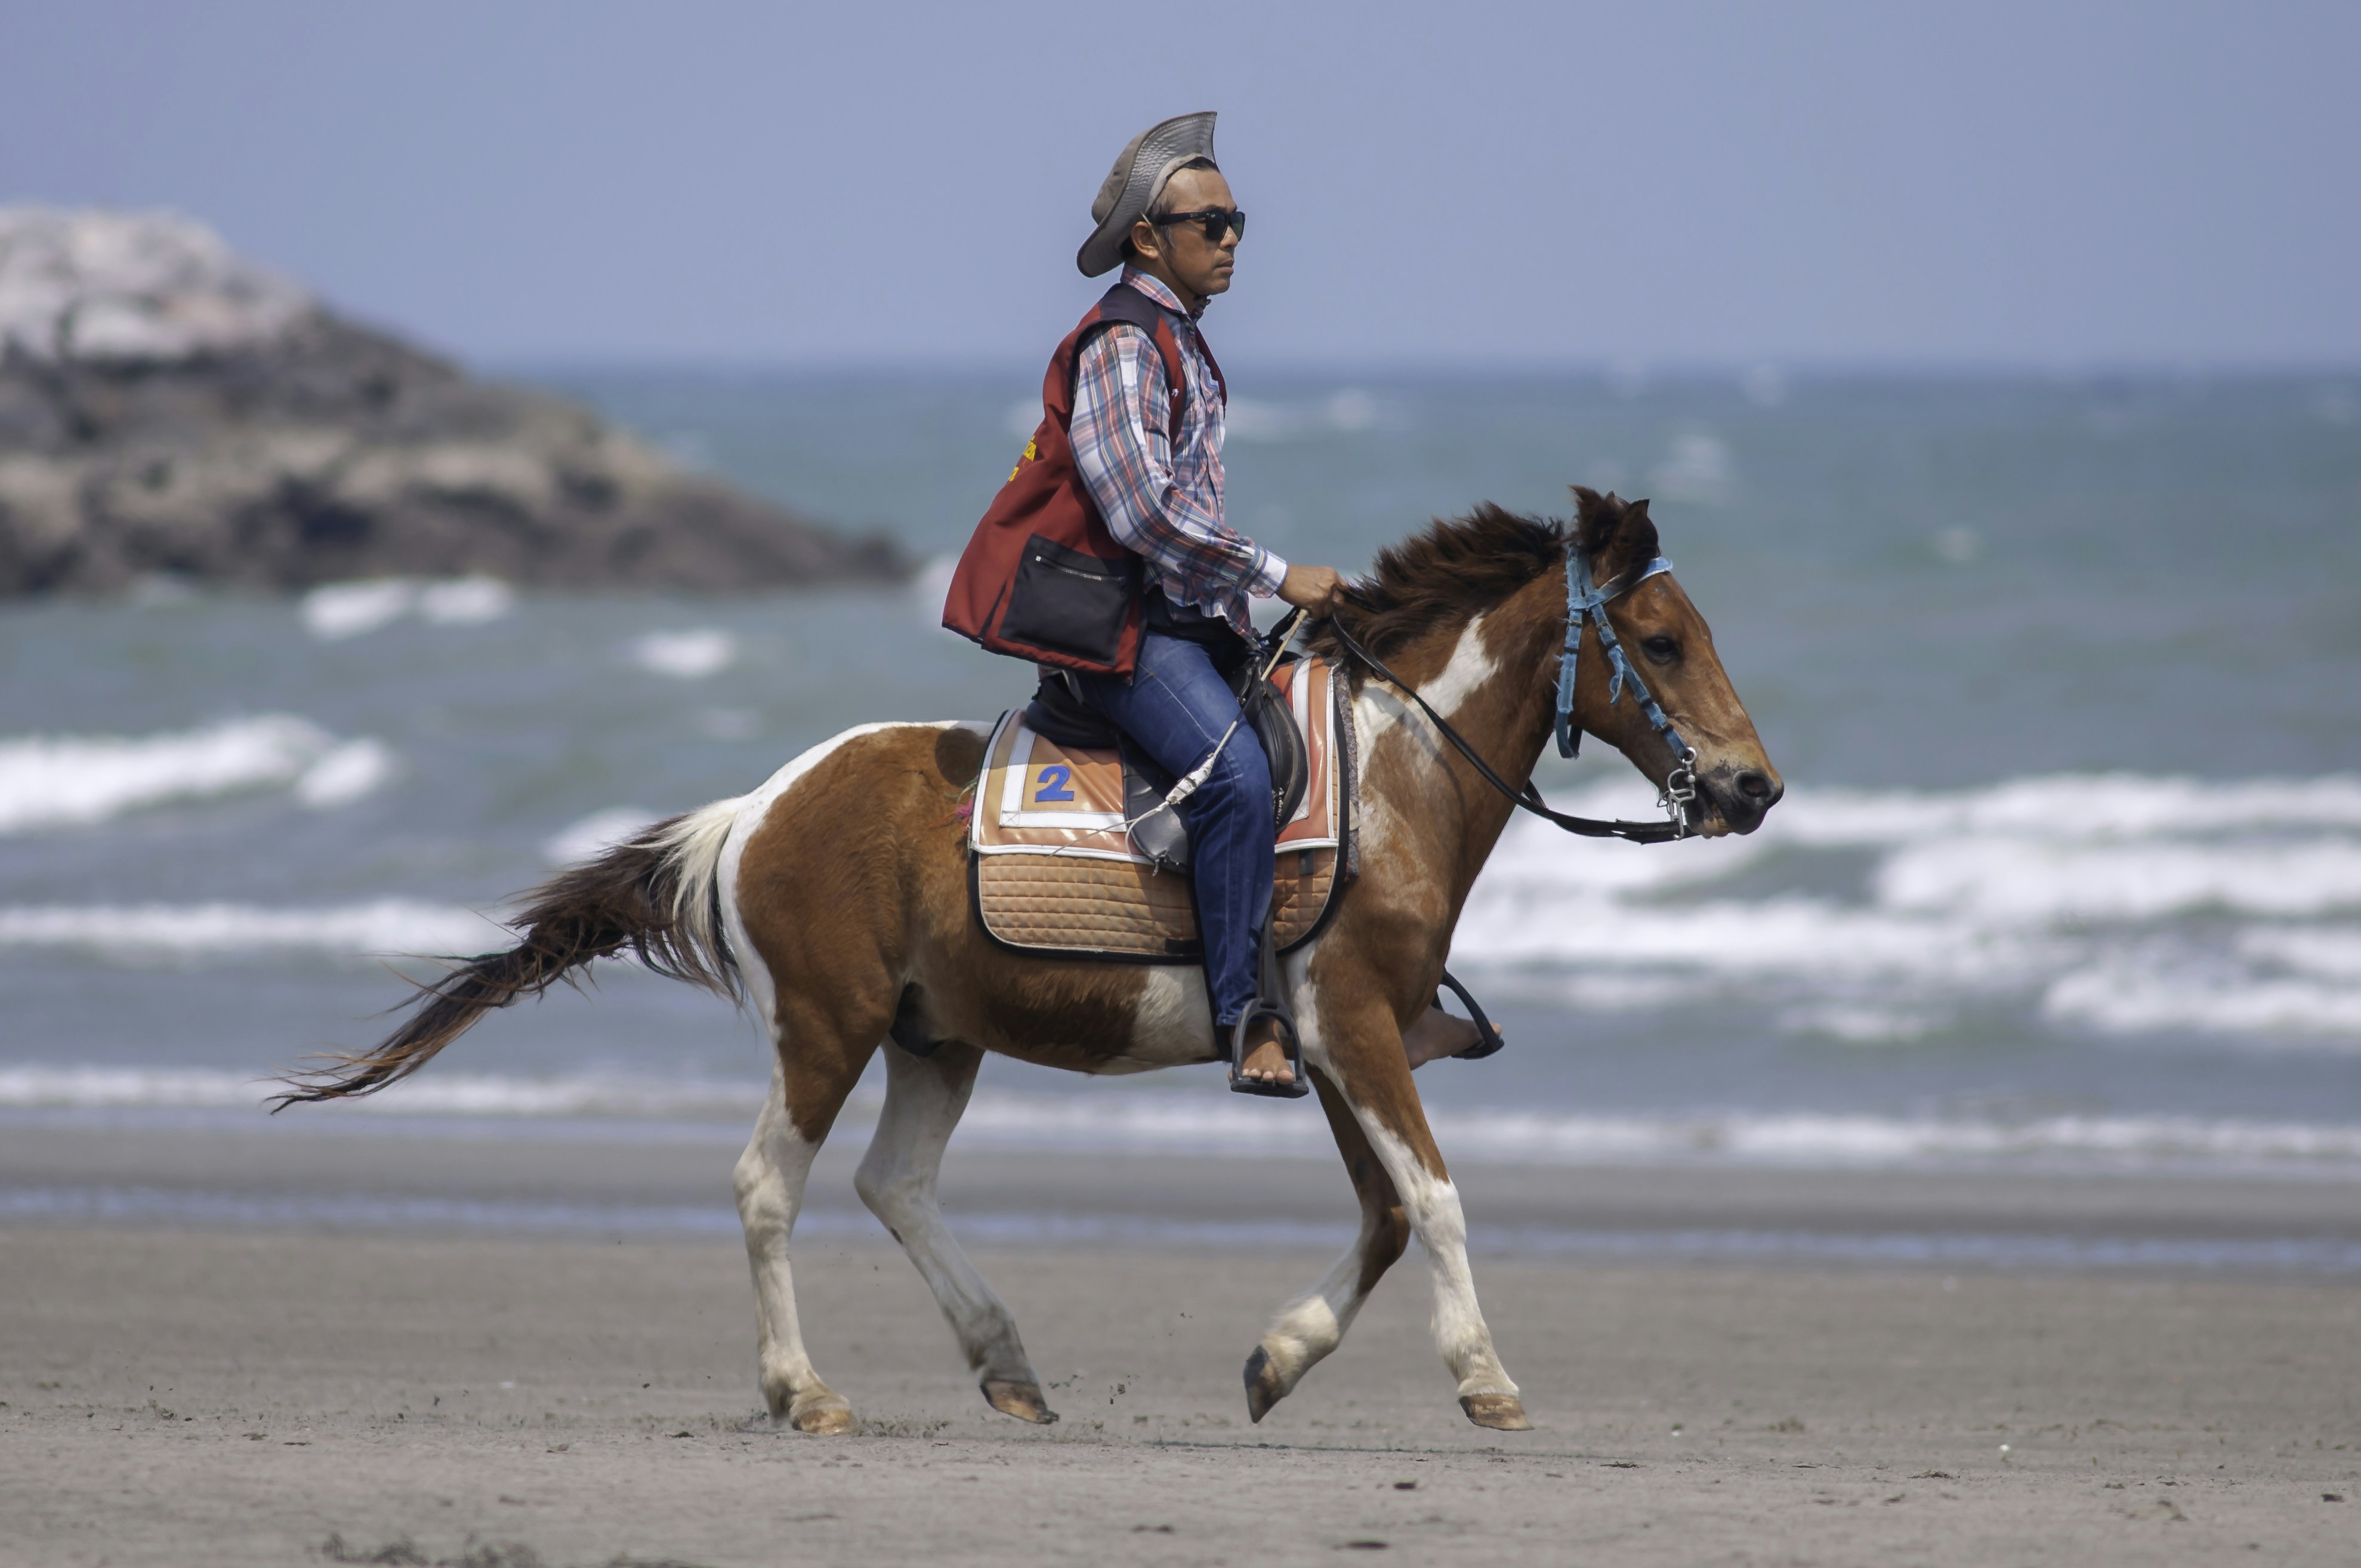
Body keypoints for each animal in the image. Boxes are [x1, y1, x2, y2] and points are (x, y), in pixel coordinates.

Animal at [276, 486, 1781, 1435]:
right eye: (1659, 641)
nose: (1754, 786)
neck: (1390, 773)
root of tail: (753, 810)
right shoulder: (1352, 1029)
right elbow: (1439, 1202)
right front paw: (1484, 1380)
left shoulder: (1336, 1043)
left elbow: (1386, 1214)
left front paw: (1277, 1359)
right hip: (826, 1029)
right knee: (771, 1187)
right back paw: (804, 1392)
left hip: (934, 1035)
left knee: (893, 1184)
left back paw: (1005, 1361)